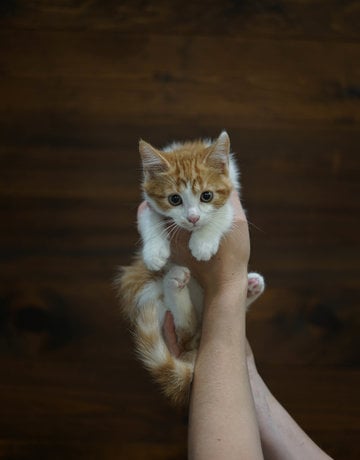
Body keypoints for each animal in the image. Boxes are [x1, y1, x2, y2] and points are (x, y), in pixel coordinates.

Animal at [115, 131, 264, 404]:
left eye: (207, 196)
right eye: (175, 199)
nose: (193, 218)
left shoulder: (233, 194)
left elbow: (224, 214)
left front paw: (203, 241)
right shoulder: (147, 203)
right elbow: (148, 217)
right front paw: (154, 250)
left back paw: (250, 287)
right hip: (145, 289)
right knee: (184, 329)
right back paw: (176, 282)